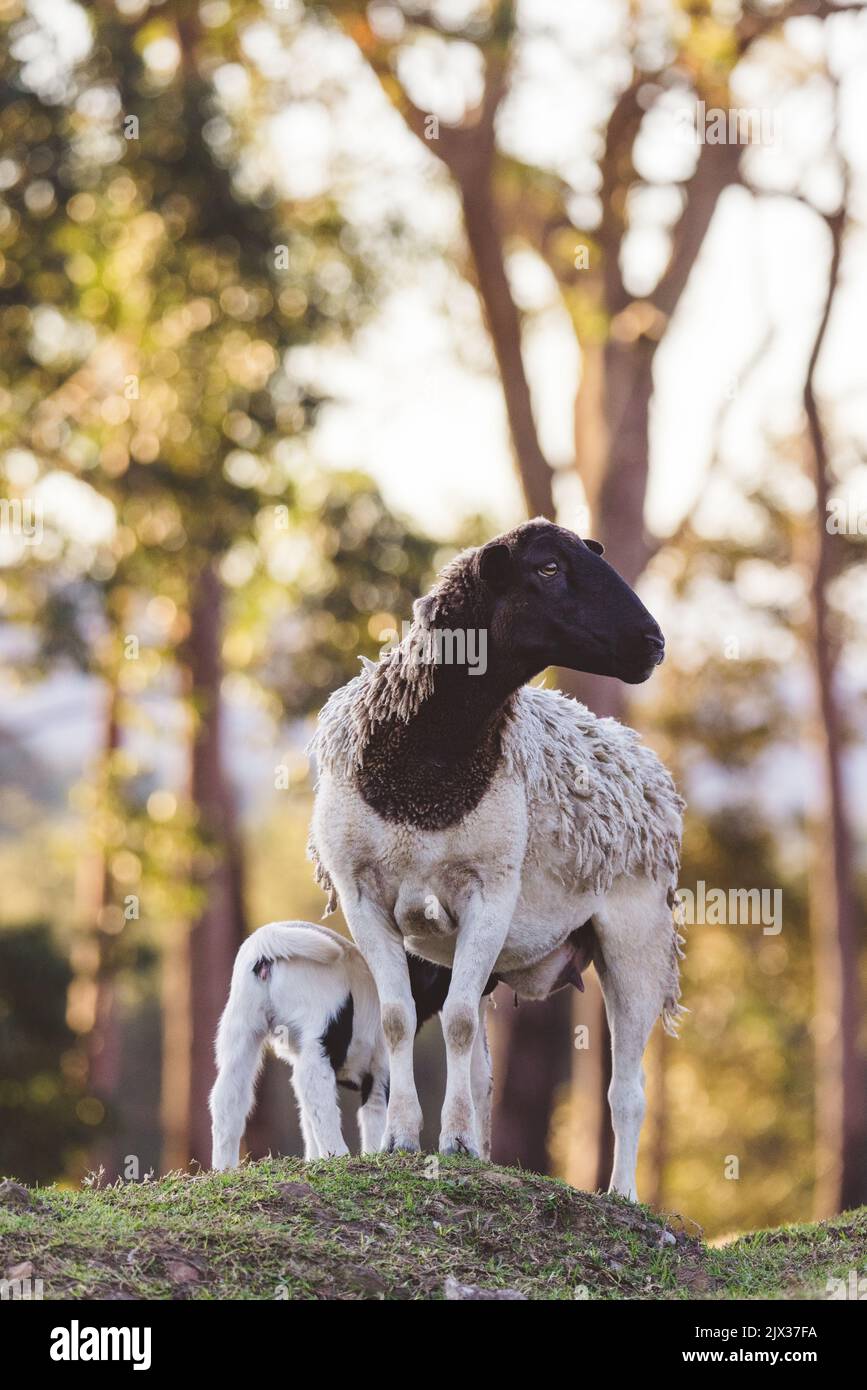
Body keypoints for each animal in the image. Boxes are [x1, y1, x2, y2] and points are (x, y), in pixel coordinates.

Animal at [209, 921, 500, 1169]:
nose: (493, 978)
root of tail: (267, 943)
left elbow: (307, 1122)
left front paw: (312, 1160)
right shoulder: (381, 1071)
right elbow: (375, 1118)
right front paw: (376, 1154)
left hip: (241, 1031)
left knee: (228, 1098)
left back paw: (224, 1169)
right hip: (320, 1034)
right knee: (314, 1088)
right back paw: (337, 1154)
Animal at [308, 518, 685, 1200]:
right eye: (548, 568)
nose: (652, 643)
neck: (430, 761)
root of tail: (641, 761)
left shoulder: (491, 892)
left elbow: (455, 1023)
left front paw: (453, 1145)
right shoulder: (362, 895)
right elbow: (400, 1020)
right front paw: (404, 1142)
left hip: (636, 934)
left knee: (627, 1089)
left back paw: (622, 1195)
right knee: (484, 1071)